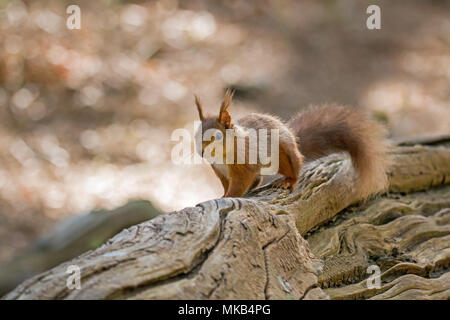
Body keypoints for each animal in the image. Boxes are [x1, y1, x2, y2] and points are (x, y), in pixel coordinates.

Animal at [195, 89, 388, 198]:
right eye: (196, 132)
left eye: (217, 136)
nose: (201, 153)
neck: (222, 156)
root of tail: (295, 142)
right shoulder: (220, 171)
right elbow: (227, 184)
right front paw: (222, 194)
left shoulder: (244, 164)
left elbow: (239, 184)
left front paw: (225, 198)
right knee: (258, 179)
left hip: (284, 156)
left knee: (294, 172)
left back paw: (287, 182)